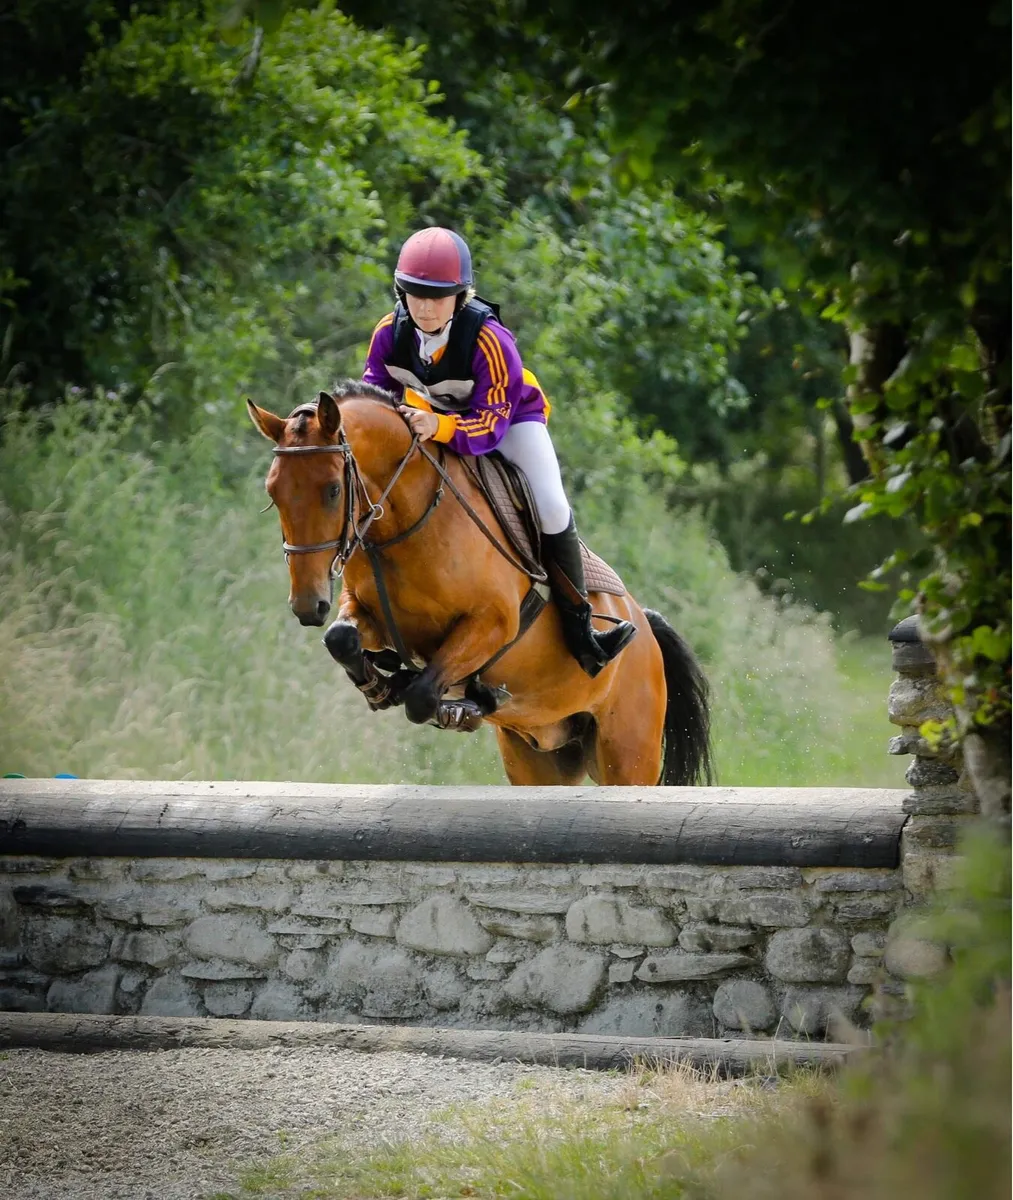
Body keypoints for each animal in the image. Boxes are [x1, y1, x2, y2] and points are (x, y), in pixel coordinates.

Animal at [248, 382, 712, 786]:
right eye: (273, 493)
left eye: (332, 490)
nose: (307, 605)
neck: (406, 524)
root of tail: (645, 626)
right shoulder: (370, 615)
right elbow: (342, 637)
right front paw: (380, 686)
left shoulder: (492, 624)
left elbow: (422, 695)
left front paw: (449, 706)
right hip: (539, 757)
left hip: (627, 755)